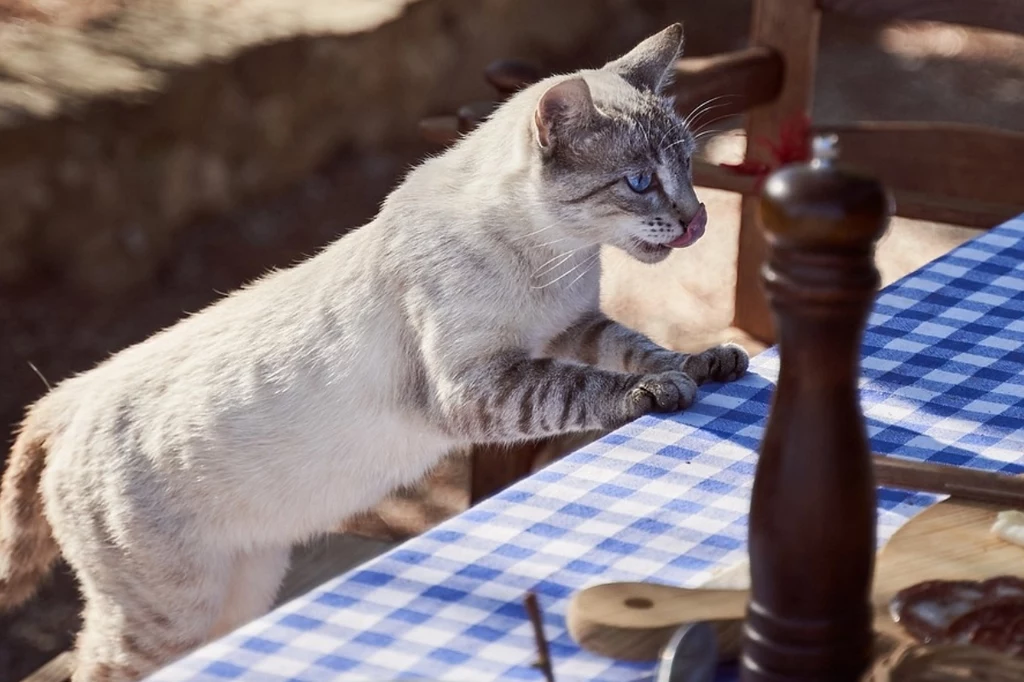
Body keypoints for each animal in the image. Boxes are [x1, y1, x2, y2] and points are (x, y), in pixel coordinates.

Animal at [4, 25, 749, 679]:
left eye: (688, 166)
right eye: (638, 183)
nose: (697, 220)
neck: (555, 260)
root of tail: (73, 392)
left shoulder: (573, 326)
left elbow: (638, 346)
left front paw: (701, 363)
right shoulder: (480, 382)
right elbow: (581, 387)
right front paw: (655, 393)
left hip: (241, 587)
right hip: (169, 613)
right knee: (98, 666)